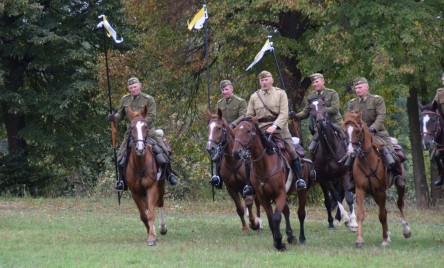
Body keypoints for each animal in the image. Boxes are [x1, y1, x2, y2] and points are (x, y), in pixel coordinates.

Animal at [125, 105, 167, 246]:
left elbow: (151, 214)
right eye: (132, 127)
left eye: (145, 127)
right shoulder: (135, 192)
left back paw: (162, 228)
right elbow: (144, 215)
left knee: (159, 203)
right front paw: (151, 233)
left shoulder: (151, 188)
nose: (140, 149)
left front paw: (152, 238)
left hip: (161, 185)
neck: (140, 165)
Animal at [231, 117, 306, 251]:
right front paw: (277, 241)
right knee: (286, 211)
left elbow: (276, 217)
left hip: (302, 191)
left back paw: (302, 238)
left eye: (248, 131)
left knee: (301, 214)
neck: (265, 165)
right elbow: (271, 220)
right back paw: (290, 236)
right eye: (235, 132)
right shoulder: (263, 197)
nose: (236, 152)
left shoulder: (280, 193)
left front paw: (280, 243)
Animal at [306, 98, 358, 230]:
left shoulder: (344, 174)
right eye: (311, 108)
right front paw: (341, 220)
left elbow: (348, 197)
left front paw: (353, 222)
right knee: (334, 197)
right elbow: (332, 198)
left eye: (324, 105)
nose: (320, 121)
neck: (329, 150)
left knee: (342, 193)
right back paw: (336, 219)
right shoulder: (324, 178)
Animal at [342, 112, 412, 248]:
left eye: (357, 131)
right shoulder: (360, 190)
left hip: (399, 186)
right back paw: (388, 235)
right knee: (385, 209)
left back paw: (405, 230)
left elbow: (382, 215)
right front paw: (360, 240)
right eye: (345, 131)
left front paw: (384, 240)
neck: (367, 160)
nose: (351, 151)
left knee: (399, 204)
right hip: (374, 194)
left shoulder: (380, 191)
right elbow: (361, 214)